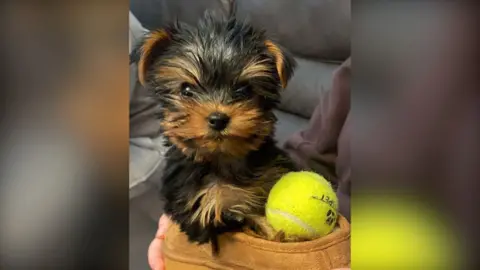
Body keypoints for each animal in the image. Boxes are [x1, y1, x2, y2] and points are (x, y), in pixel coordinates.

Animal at [134, 11, 296, 253]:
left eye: (244, 90)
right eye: (186, 89)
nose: (218, 119)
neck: (223, 159)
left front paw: (275, 234)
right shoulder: (201, 206)